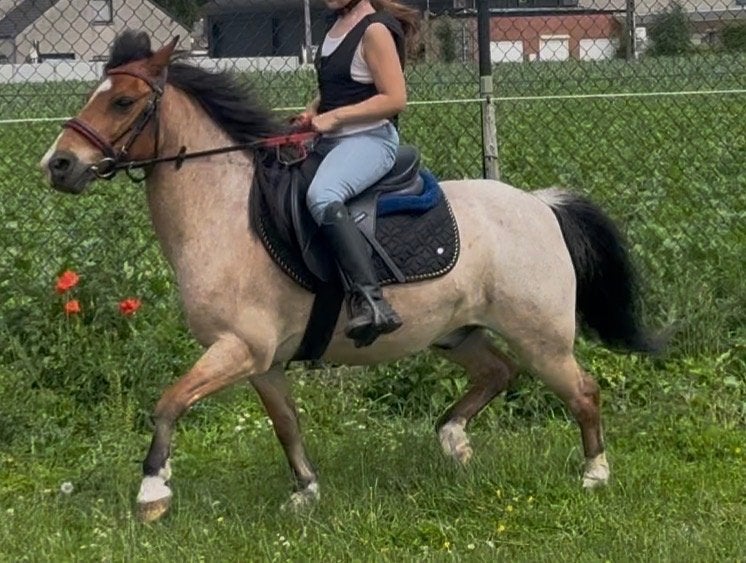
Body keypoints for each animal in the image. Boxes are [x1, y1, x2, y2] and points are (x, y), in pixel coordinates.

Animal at [39, 31, 660, 523]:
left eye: (123, 100)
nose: (58, 165)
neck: (226, 214)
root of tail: (539, 205)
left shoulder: (236, 347)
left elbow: (168, 403)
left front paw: (152, 492)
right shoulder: (262, 362)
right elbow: (287, 425)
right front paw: (306, 493)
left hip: (542, 338)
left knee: (582, 392)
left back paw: (594, 474)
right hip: (456, 333)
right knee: (497, 372)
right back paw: (454, 442)